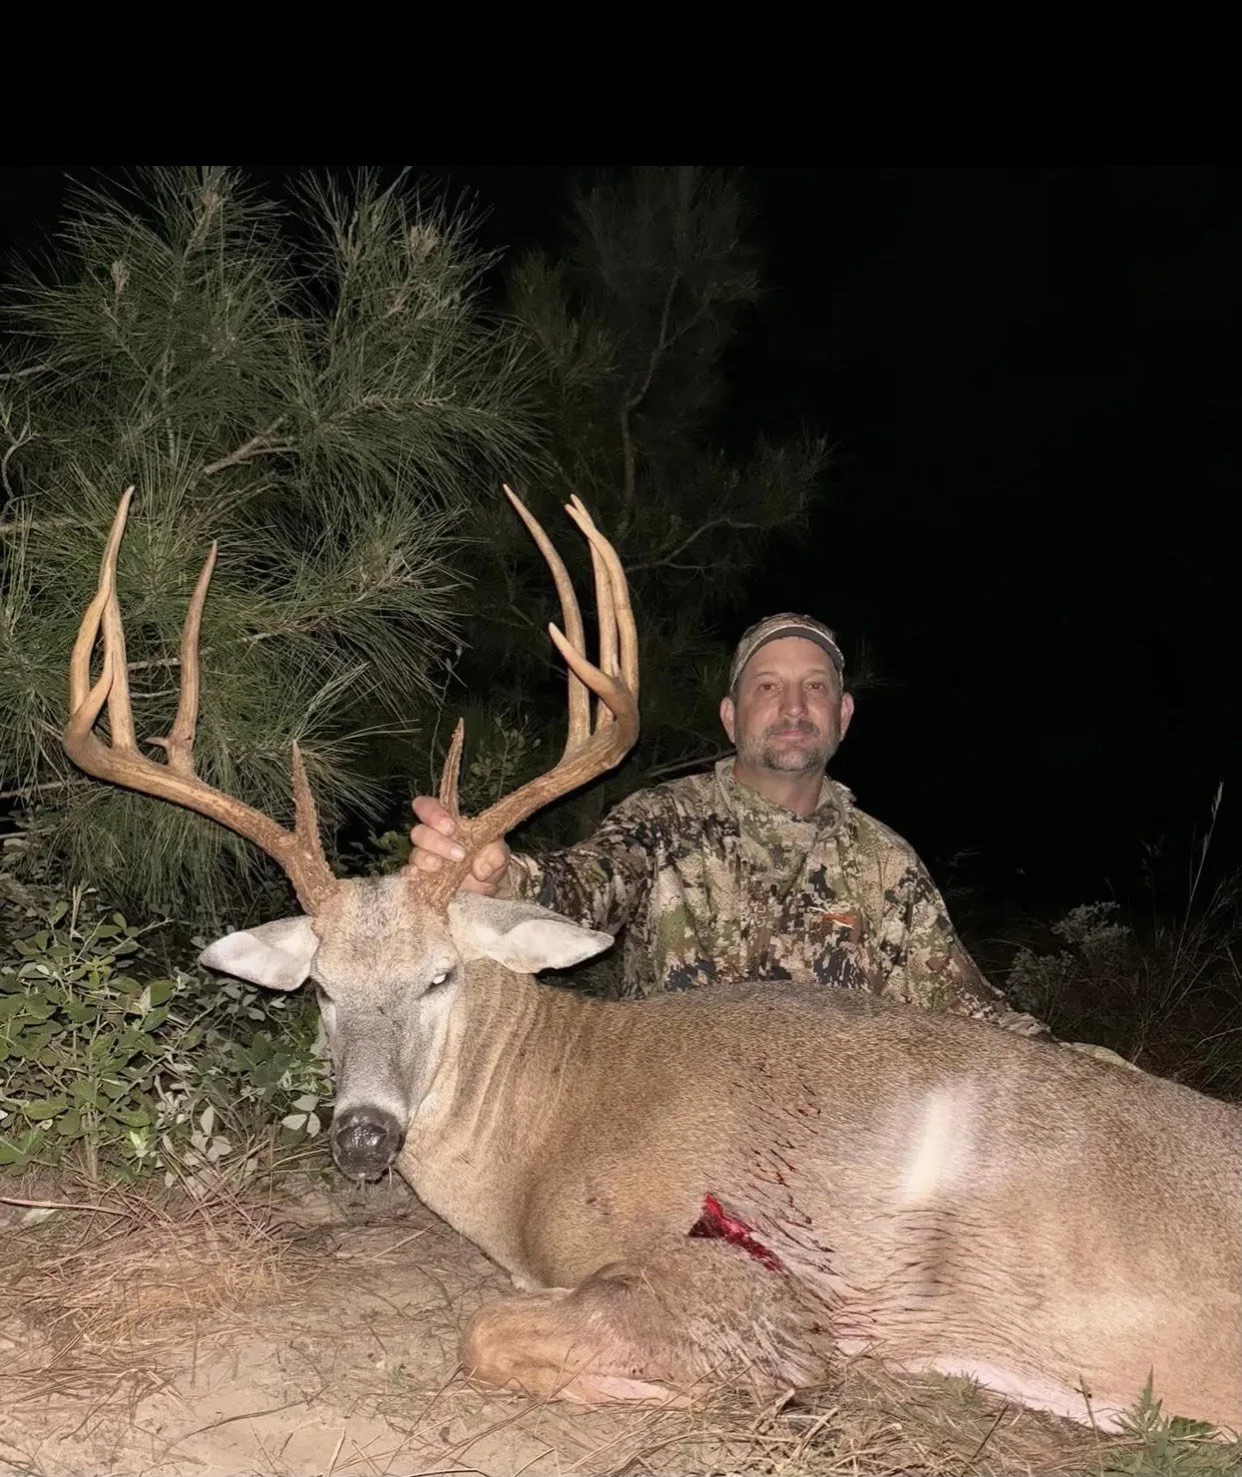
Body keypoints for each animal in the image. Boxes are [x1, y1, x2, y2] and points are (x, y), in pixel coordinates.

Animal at [64, 487, 1241, 1433]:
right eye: (318, 988)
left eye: (441, 974)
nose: (362, 1138)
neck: (546, 1130)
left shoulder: (746, 1271)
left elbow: (491, 1331)